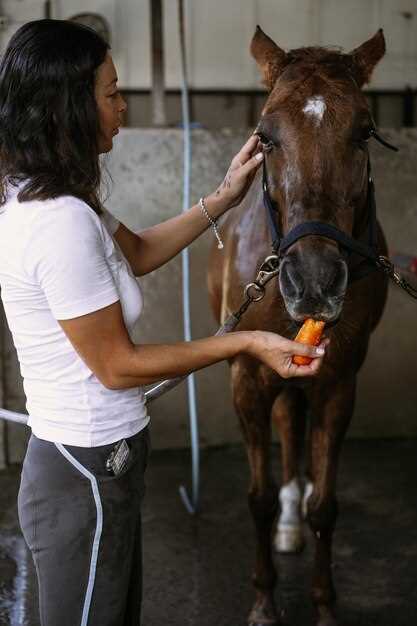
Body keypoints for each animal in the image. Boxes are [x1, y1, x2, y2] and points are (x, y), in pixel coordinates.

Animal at [208, 26, 390, 624]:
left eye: (365, 131)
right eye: (265, 135)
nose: (312, 281)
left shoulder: (338, 381)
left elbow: (326, 505)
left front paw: (324, 605)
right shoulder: (247, 376)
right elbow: (258, 498)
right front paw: (265, 602)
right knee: (287, 429)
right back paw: (286, 527)